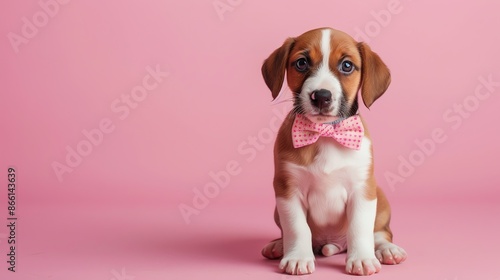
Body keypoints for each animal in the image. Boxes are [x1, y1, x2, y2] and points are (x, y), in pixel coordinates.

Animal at [262, 27, 406, 276]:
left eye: (347, 65)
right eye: (301, 63)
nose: (321, 96)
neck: (325, 134)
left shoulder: (361, 190)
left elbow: (360, 227)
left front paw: (362, 259)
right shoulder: (287, 190)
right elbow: (297, 227)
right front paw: (298, 257)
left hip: (379, 198)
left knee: (380, 233)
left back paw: (387, 249)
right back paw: (279, 245)